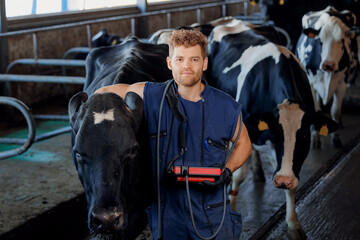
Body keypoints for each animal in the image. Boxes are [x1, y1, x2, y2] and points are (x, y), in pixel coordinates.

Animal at [207, 19, 338, 240]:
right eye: (277, 134)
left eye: (304, 135)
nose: (283, 179)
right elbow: (238, 175)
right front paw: (229, 206)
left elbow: (292, 185)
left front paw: (293, 224)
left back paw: (259, 171)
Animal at [296, 6, 360, 148]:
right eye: (320, 41)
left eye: (342, 41)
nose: (328, 64)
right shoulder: (311, 84)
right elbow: (317, 110)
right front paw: (315, 138)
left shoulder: (342, 84)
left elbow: (335, 110)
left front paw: (336, 138)